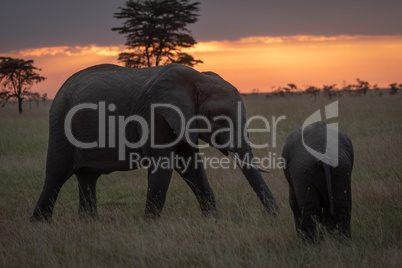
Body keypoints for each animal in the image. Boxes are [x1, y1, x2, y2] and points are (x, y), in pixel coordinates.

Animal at [30, 63, 280, 222]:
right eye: (221, 121)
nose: (274, 216)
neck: (198, 79)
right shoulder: (156, 115)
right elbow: (165, 167)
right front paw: (150, 225)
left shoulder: (182, 120)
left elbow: (191, 167)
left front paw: (213, 221)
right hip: (61, 124)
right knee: (56, 175)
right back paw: (39, 224)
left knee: (87, 178)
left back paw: (88, 224)